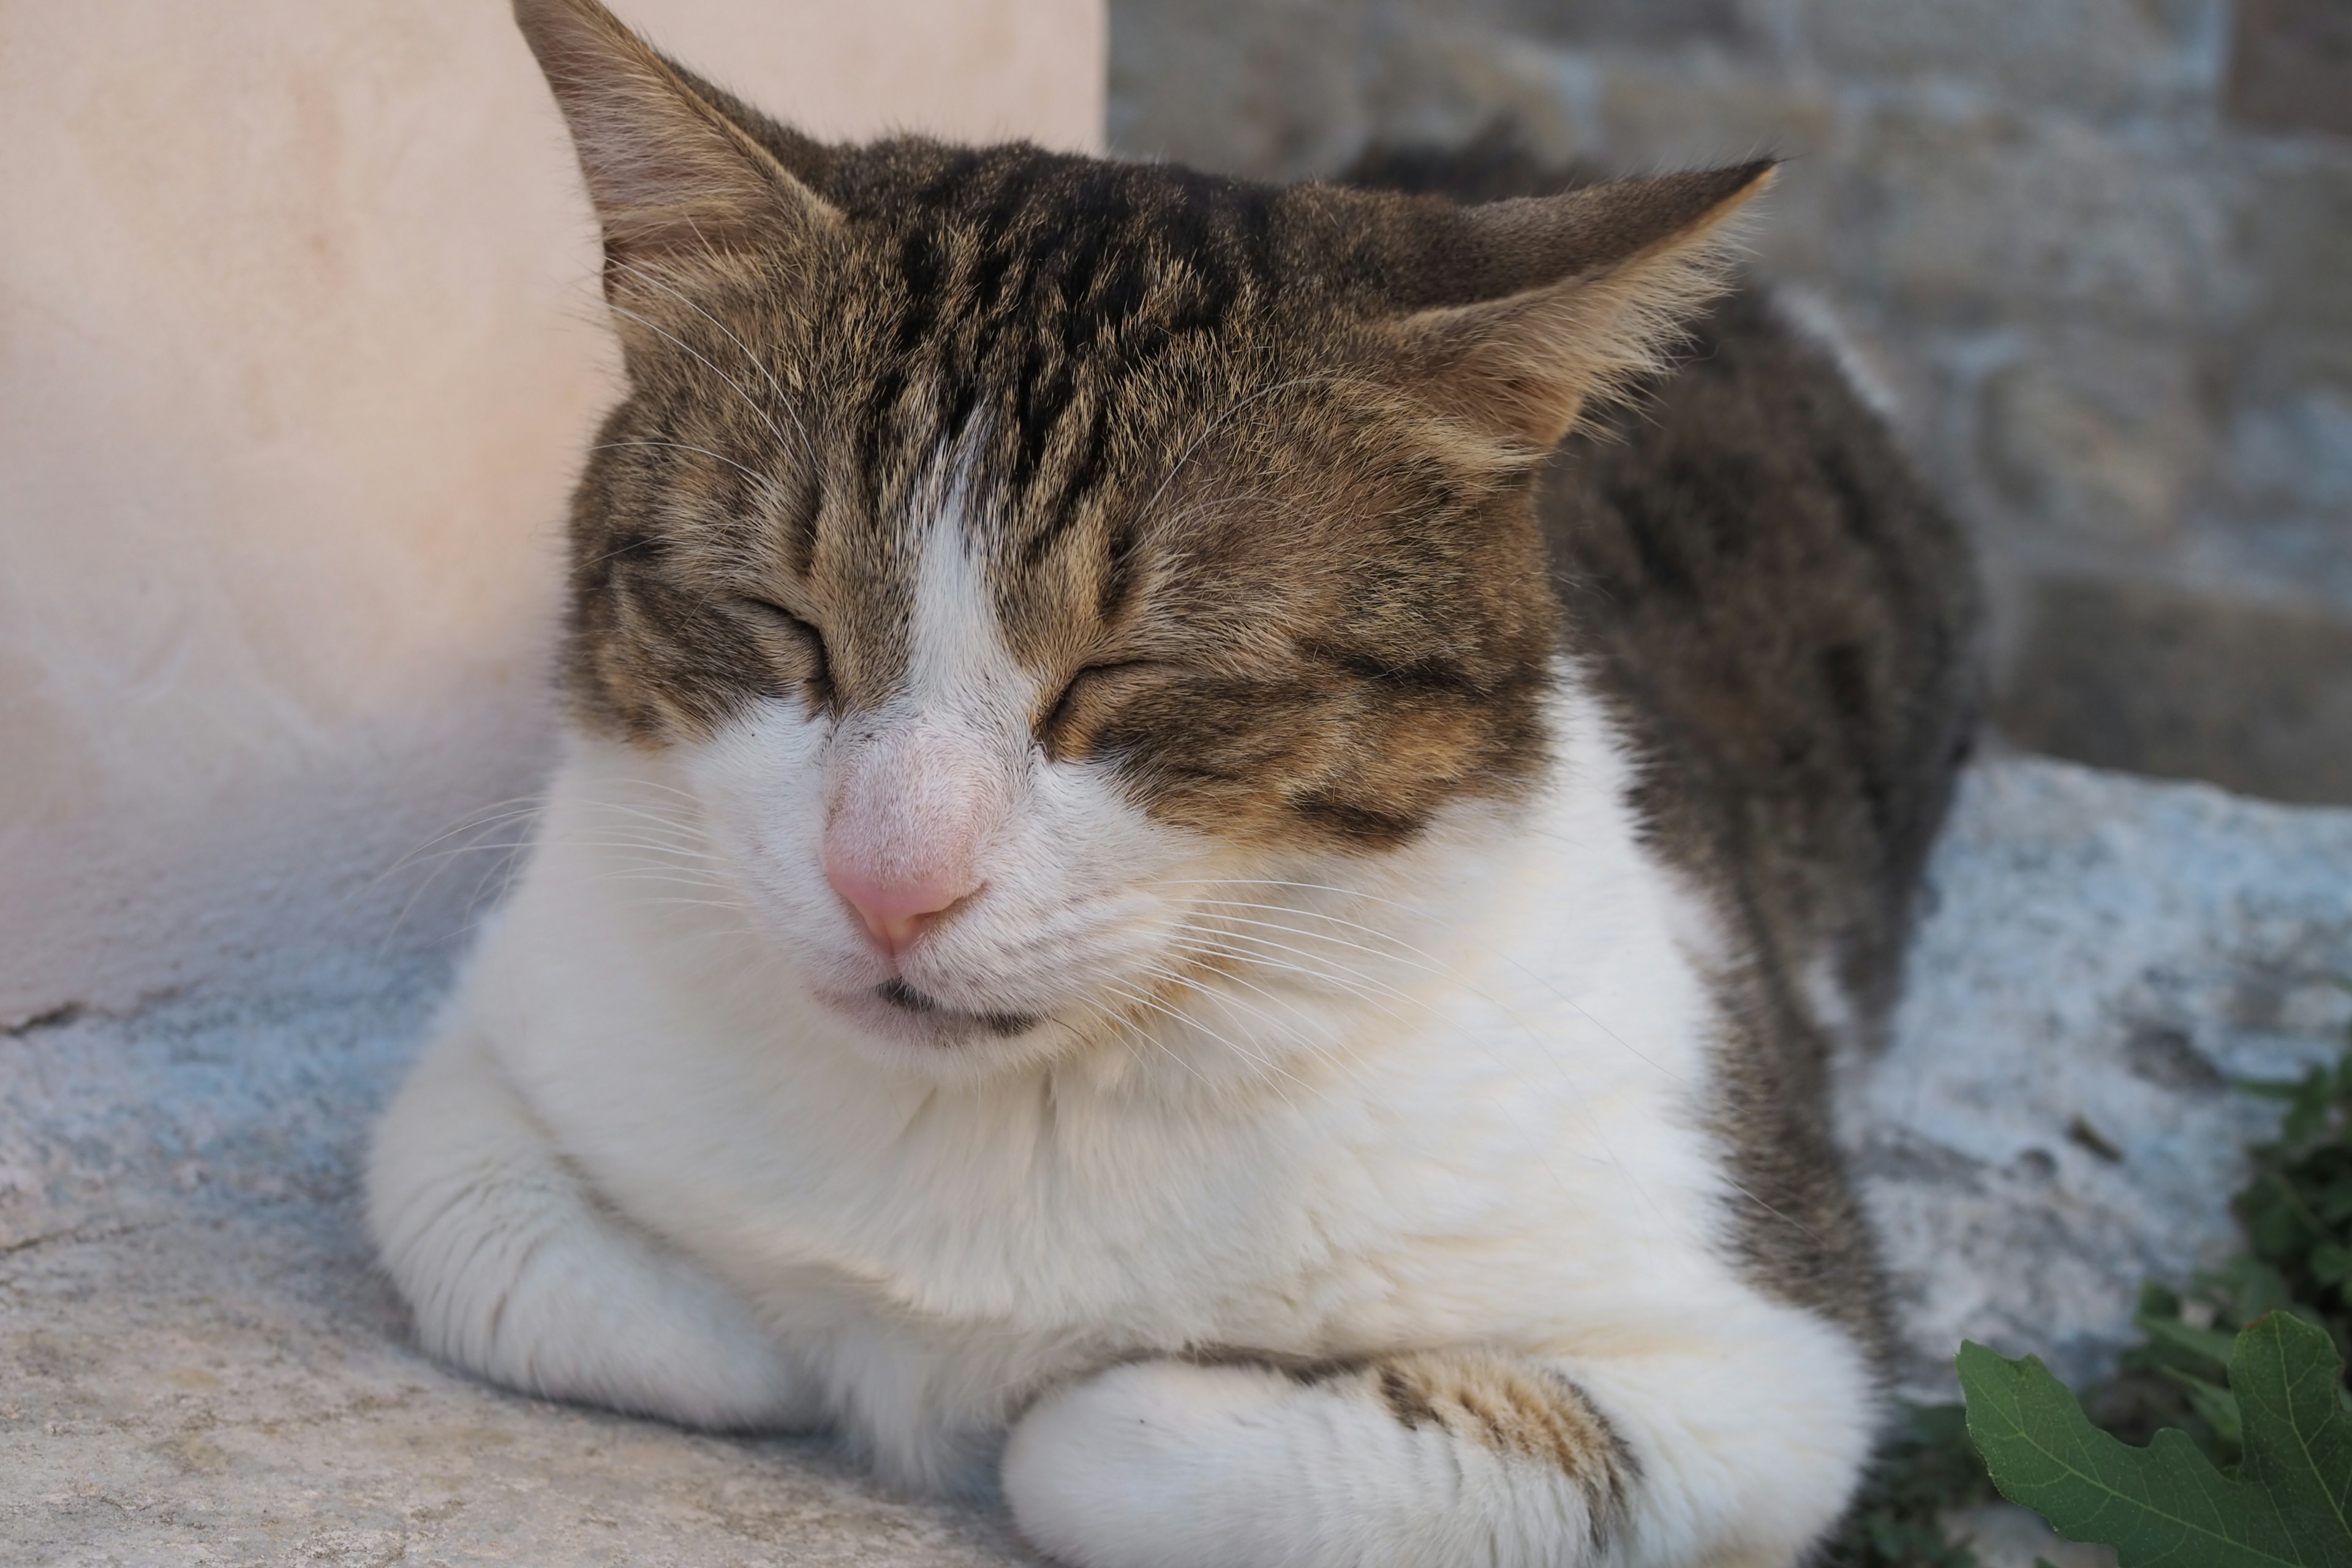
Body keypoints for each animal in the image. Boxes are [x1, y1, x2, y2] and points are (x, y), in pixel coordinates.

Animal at [367, 3, 1985, 1568]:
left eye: (1126, 671)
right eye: (785, 618)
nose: (889, 878)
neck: (997, 1128)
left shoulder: (1765, 1362)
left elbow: (1113, 1447)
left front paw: (1045, 1394)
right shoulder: (493, 1046)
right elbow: (502, 1239)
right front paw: (789, 1328)